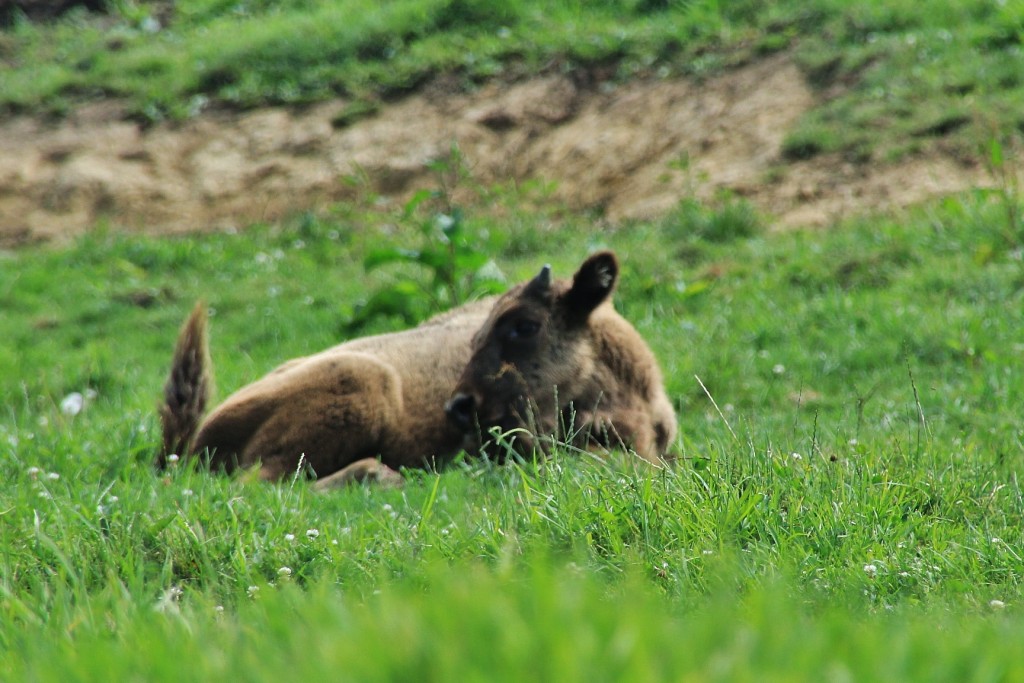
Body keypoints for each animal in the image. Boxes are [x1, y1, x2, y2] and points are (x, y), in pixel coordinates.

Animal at [157, 253, 671, 489]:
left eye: (524, 325)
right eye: (480, 334)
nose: (460, 407)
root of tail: (191, 442)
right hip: (365, 383)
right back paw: (383, 475)